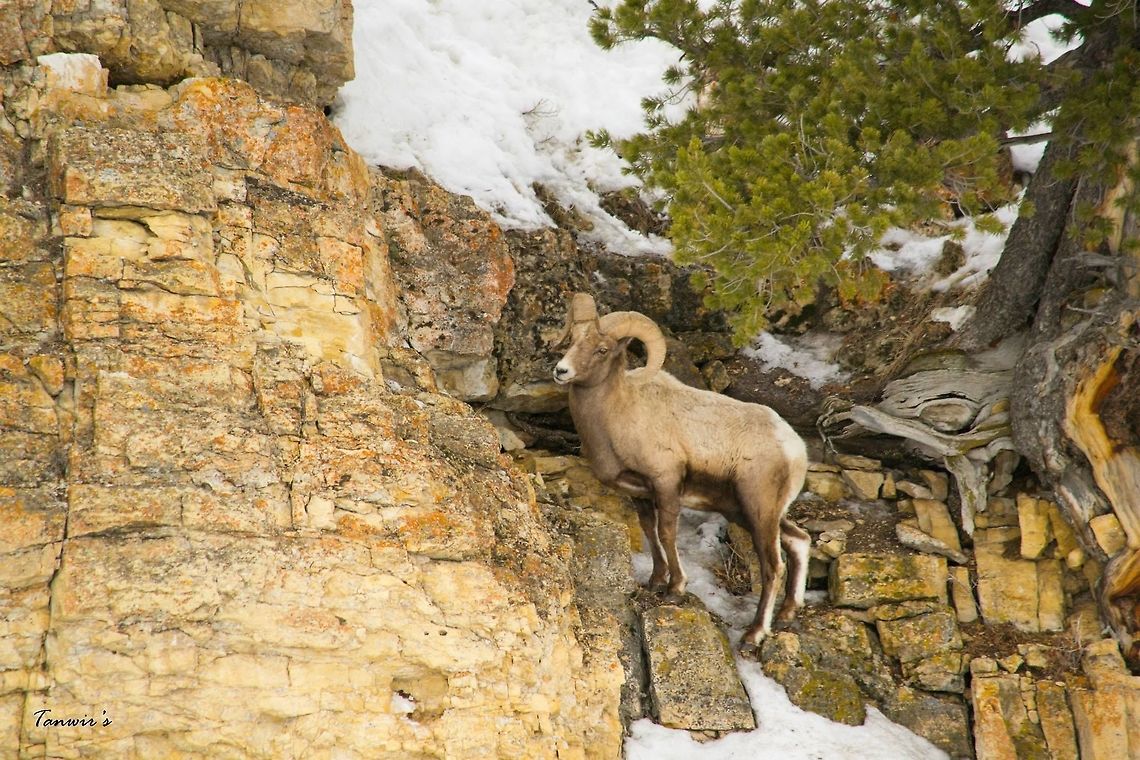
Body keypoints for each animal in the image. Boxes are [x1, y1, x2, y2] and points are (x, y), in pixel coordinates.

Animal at [552, 292, 810, 646]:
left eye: (602, 349)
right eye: (573, 340)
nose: (561, 371)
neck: (618, 414)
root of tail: (795, 449)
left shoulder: (666, 483)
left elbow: (666, 532)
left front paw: (675, 588)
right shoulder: (640, 493)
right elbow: (649, 530)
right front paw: (655, 580)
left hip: (759, 514)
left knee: (773, 567)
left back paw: (754, 634)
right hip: (748, 512)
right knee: (800, 541)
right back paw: (787, 614)